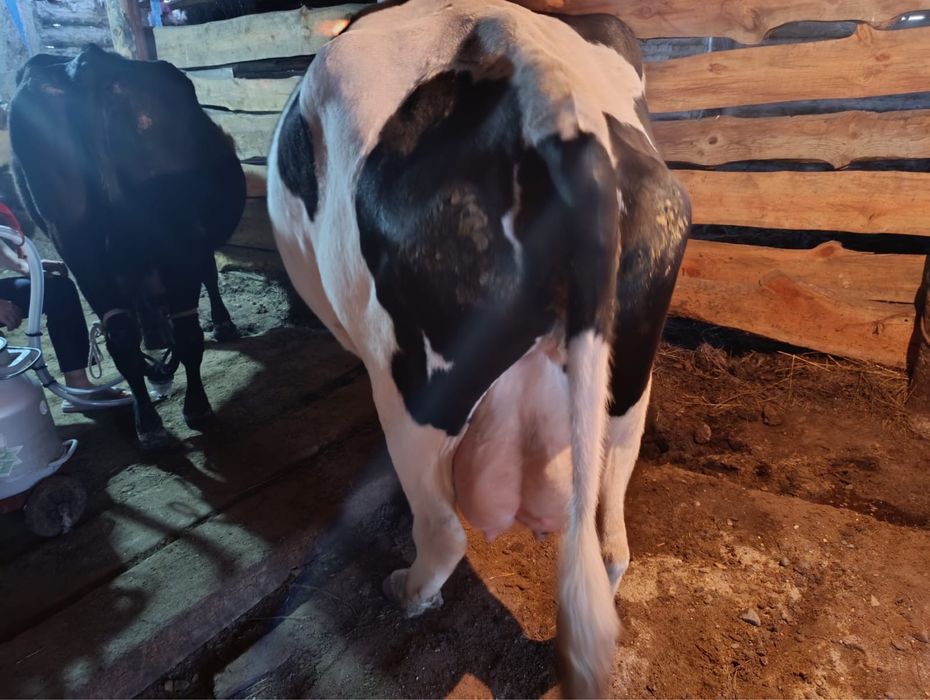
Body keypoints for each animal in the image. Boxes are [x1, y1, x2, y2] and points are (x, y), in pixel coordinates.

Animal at [9, 45, 246, 449]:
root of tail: (87, 64)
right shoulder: (194, 244)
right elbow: (209, 278)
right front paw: (220, 325)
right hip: (176, 231)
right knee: (186, 330)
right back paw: (195, 407)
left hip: (77, 243)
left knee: (120, 336)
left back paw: (148, 423)